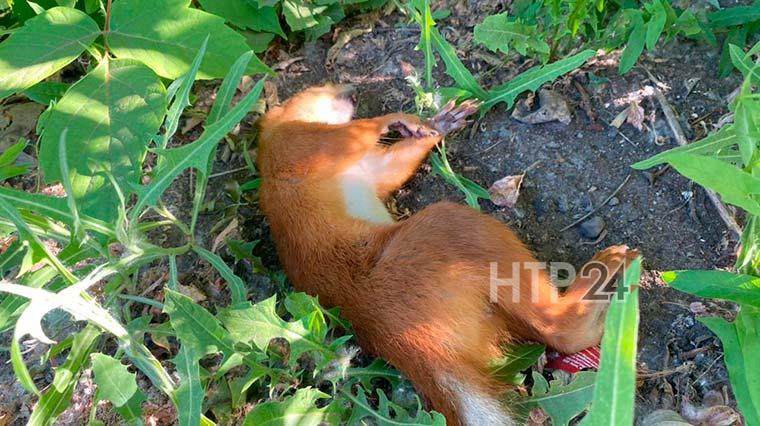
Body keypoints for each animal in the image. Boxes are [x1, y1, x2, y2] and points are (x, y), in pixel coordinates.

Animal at [258, 84, 640, 426]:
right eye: (314, 89)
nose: (352, 92)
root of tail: (401, 340)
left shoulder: (367, 171)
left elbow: (393, 168)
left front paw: (439, 124)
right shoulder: (300, 145)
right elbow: (347, 137)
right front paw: (397, 120)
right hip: (450, 230)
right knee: (559, 330)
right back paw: (606, 275)